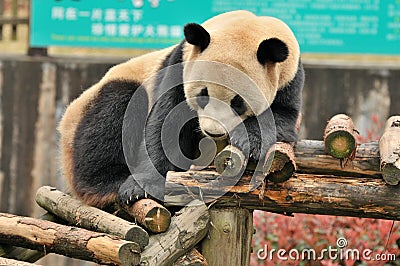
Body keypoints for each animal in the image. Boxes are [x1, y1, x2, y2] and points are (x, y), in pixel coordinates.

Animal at [58, 10, 304, 209]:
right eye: (203, 94)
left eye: (237, 102)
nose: (213, 131)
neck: (251, 24)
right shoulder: (179, 65)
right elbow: (165, 124)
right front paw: (138, 188)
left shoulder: (289, 80)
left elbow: (281, 118)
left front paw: (250, 142)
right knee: (110, 119)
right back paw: (111, 182)